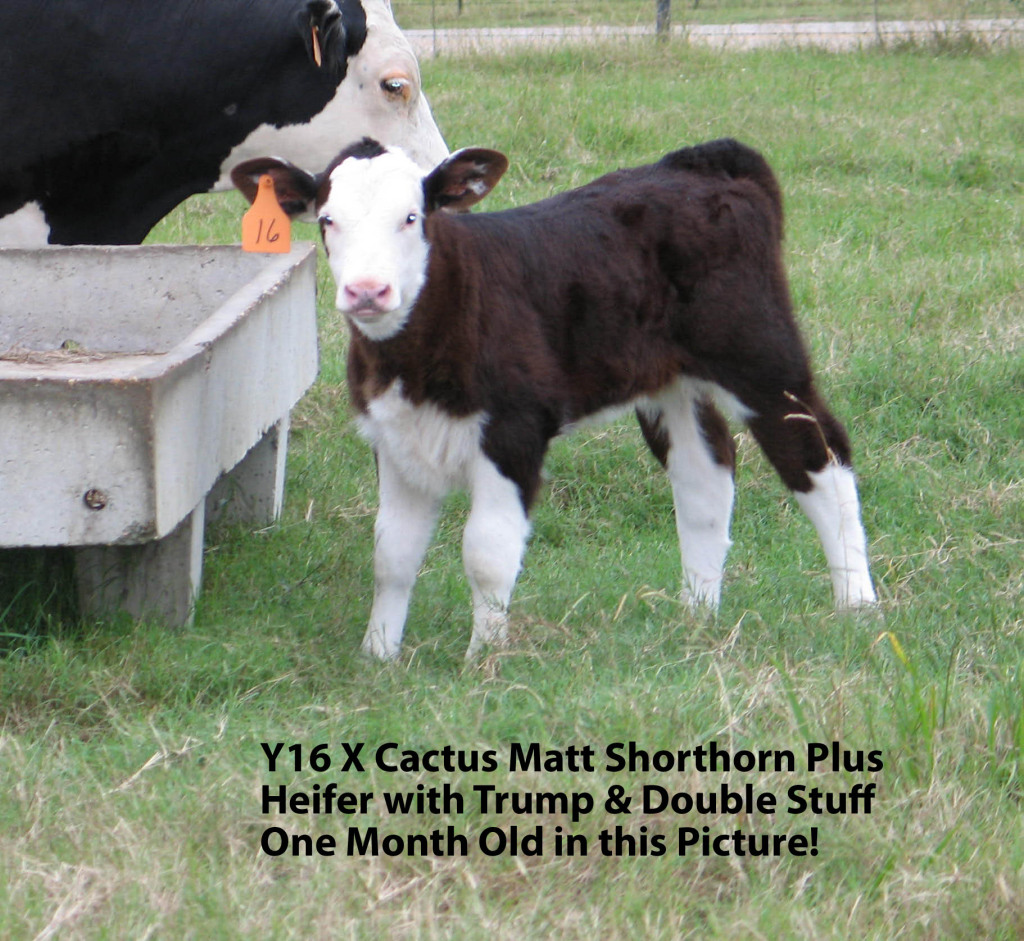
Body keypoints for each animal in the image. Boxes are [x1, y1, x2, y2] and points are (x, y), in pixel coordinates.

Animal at [234, 138, 880, 663]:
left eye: (412, 216)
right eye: (327, 219)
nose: (368, 291)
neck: (413, 359)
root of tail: (701, 162)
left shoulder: (514, 430)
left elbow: (486, 552)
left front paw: (483, 660)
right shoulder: (394, 437)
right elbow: (391, 553)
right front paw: (378, 656)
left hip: (761, 356)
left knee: (821, 460)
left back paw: (857, 604)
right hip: (670, 381)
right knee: (706, 476)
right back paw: (697, 615)